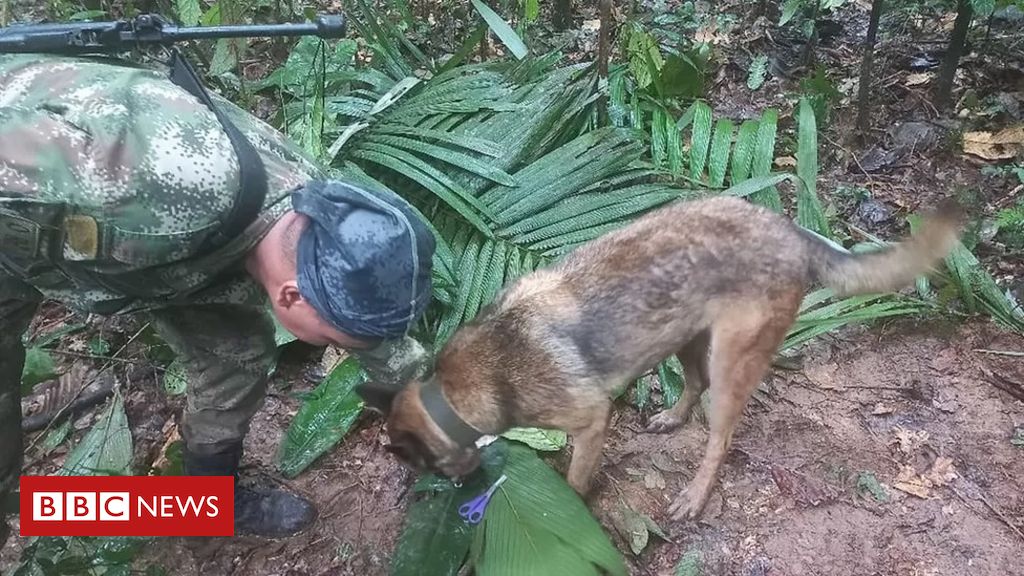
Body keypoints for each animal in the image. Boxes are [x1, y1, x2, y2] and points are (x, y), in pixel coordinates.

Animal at [378, 194, 958, 518]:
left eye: (420, 465)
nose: (457, 489)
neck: (457, 390)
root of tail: (790, 229)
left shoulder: (590, 422)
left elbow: (575, 479)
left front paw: (571, 507)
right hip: (683, 335)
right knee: (694, 384)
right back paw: (672, 418)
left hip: (730, 362)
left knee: (720, 436)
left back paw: (696, 495)